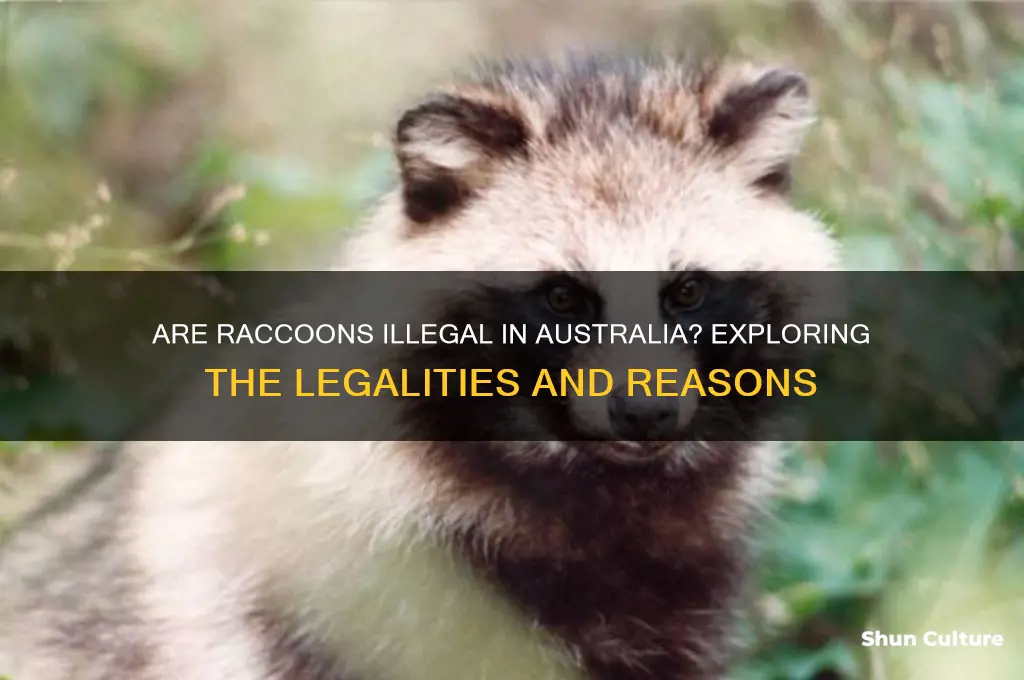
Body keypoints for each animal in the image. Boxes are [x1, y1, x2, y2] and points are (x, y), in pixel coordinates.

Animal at [0, 52, 838, 680]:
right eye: (562, 296)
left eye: (687, 290)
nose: (646, 412)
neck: (585, 498)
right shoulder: (337, 601)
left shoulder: (671, 608)